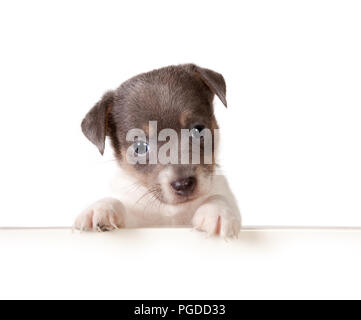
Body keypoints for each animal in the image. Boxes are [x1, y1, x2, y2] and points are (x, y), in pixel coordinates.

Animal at [74, 63, 240, 238]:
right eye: (140, 147)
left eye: (198, 130)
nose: (183, 184)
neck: (172, 211)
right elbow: (118, 202)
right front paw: (100, 207)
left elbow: (218, 196)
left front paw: (217, 211)